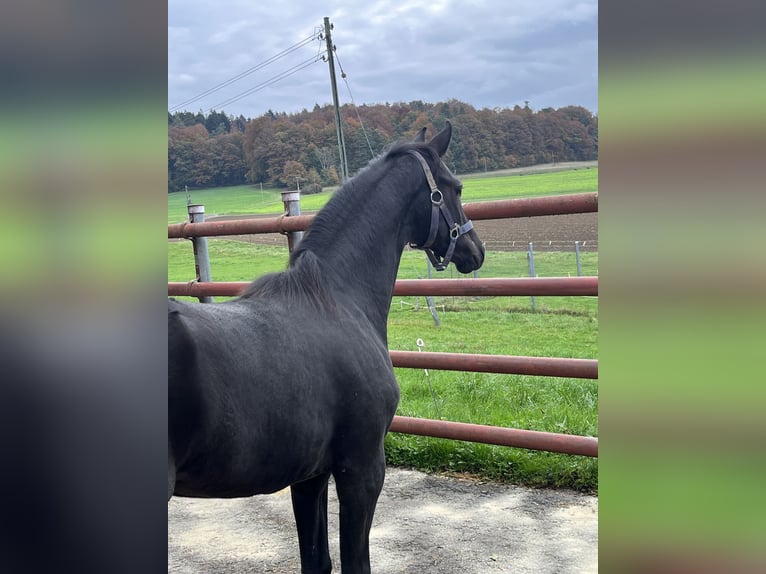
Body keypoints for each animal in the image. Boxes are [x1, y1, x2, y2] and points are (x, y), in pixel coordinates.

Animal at [170, 120, 486, 572]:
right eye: (455, 187)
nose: (476, 251)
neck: (337, 297)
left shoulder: (309, 477)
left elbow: (317, 560)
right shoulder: (362, 470)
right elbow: (356, 562)